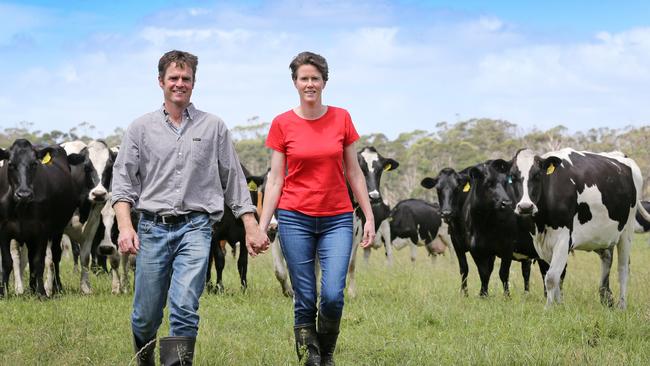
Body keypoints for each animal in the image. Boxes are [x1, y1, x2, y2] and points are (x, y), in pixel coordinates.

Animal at [0, 139, 83, 296]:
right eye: (11, 164)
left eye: (34, 164)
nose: (24, 194)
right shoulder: (4, 231)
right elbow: (7, 262)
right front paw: (3, 293)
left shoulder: (42, 232)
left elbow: (39, 261)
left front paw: (42, 293)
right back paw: (31, 288)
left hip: (57, 231)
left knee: (55, 256)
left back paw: (56, 287)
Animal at [61, 140, 117, 294]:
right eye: (86, 167)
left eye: (110, 166)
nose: (99, 194)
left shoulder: (93, 224)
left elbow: (85, 256)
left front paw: (86, 287)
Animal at [508, 147, 644, 308]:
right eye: (512, 176)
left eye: (537, 175)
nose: (525, 207)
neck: (541, 223)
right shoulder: (541, 243)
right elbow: (555, 274)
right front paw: (558, 306)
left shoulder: (563, 239)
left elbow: (551, 277)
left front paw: (548, 308)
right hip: (603, 235)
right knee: (607, 258)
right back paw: (606, 298)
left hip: (627, 232)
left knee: (623, 269)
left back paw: (622, 306)